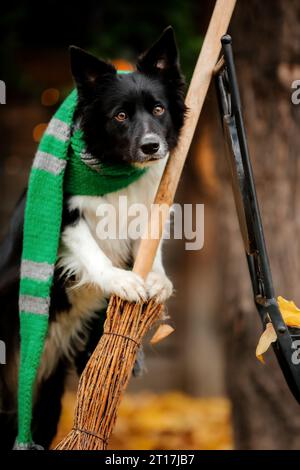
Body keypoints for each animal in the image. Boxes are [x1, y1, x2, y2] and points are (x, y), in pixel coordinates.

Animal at [0, 26, 185, 448]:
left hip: (49, 391)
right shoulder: (65, 217)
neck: (116, 169)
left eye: (158, 109)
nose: (151, 146)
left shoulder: (149, 206)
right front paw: (122, 281)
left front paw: (157, 279)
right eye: (120, 115)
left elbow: (151, 244)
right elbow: (90, 249)